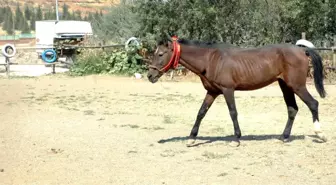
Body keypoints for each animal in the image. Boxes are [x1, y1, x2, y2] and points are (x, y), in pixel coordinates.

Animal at [146, 35, 326, 147]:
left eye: (160, 54)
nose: (150, 75)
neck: (210, 60)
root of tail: (301, 50)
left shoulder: (228, 90)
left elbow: (233, 112)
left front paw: (236, 139)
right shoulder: (212, 92)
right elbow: (201, 112)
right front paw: (191, 139)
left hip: (297, 86)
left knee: (313, 104)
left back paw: (320, 134)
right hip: (285, 86)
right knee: (292, 109)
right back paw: (283, 137)